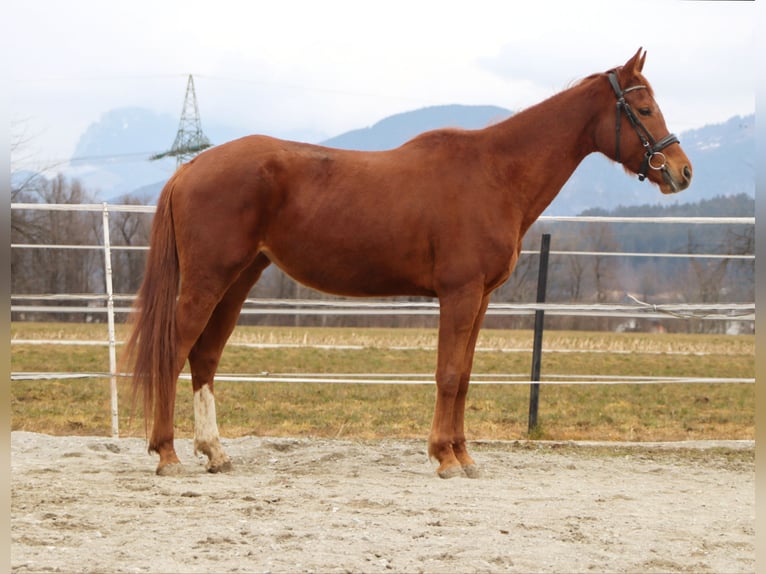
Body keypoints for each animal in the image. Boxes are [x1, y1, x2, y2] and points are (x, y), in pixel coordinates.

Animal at [123, 49, 692, 480]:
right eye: (643, 109)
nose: (682, 171)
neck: (496, 173)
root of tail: (192, 165)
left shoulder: (480, 299)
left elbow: (464, 375)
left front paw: (463, 455)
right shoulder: (459, 294)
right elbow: (447, 374)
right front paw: (444, 459)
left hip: (240, 278)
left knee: (205, 356)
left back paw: (215, 452)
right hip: (208, 280)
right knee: (173, 351)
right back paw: (167, 454)